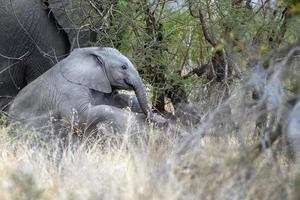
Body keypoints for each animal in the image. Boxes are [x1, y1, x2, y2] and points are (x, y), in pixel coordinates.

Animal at [9, 47, 165, 138]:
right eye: (124, 67)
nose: (162, 120)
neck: (93, 52)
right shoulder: (70, 90)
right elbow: (81, 116)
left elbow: (118, 99)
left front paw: (161, 119)